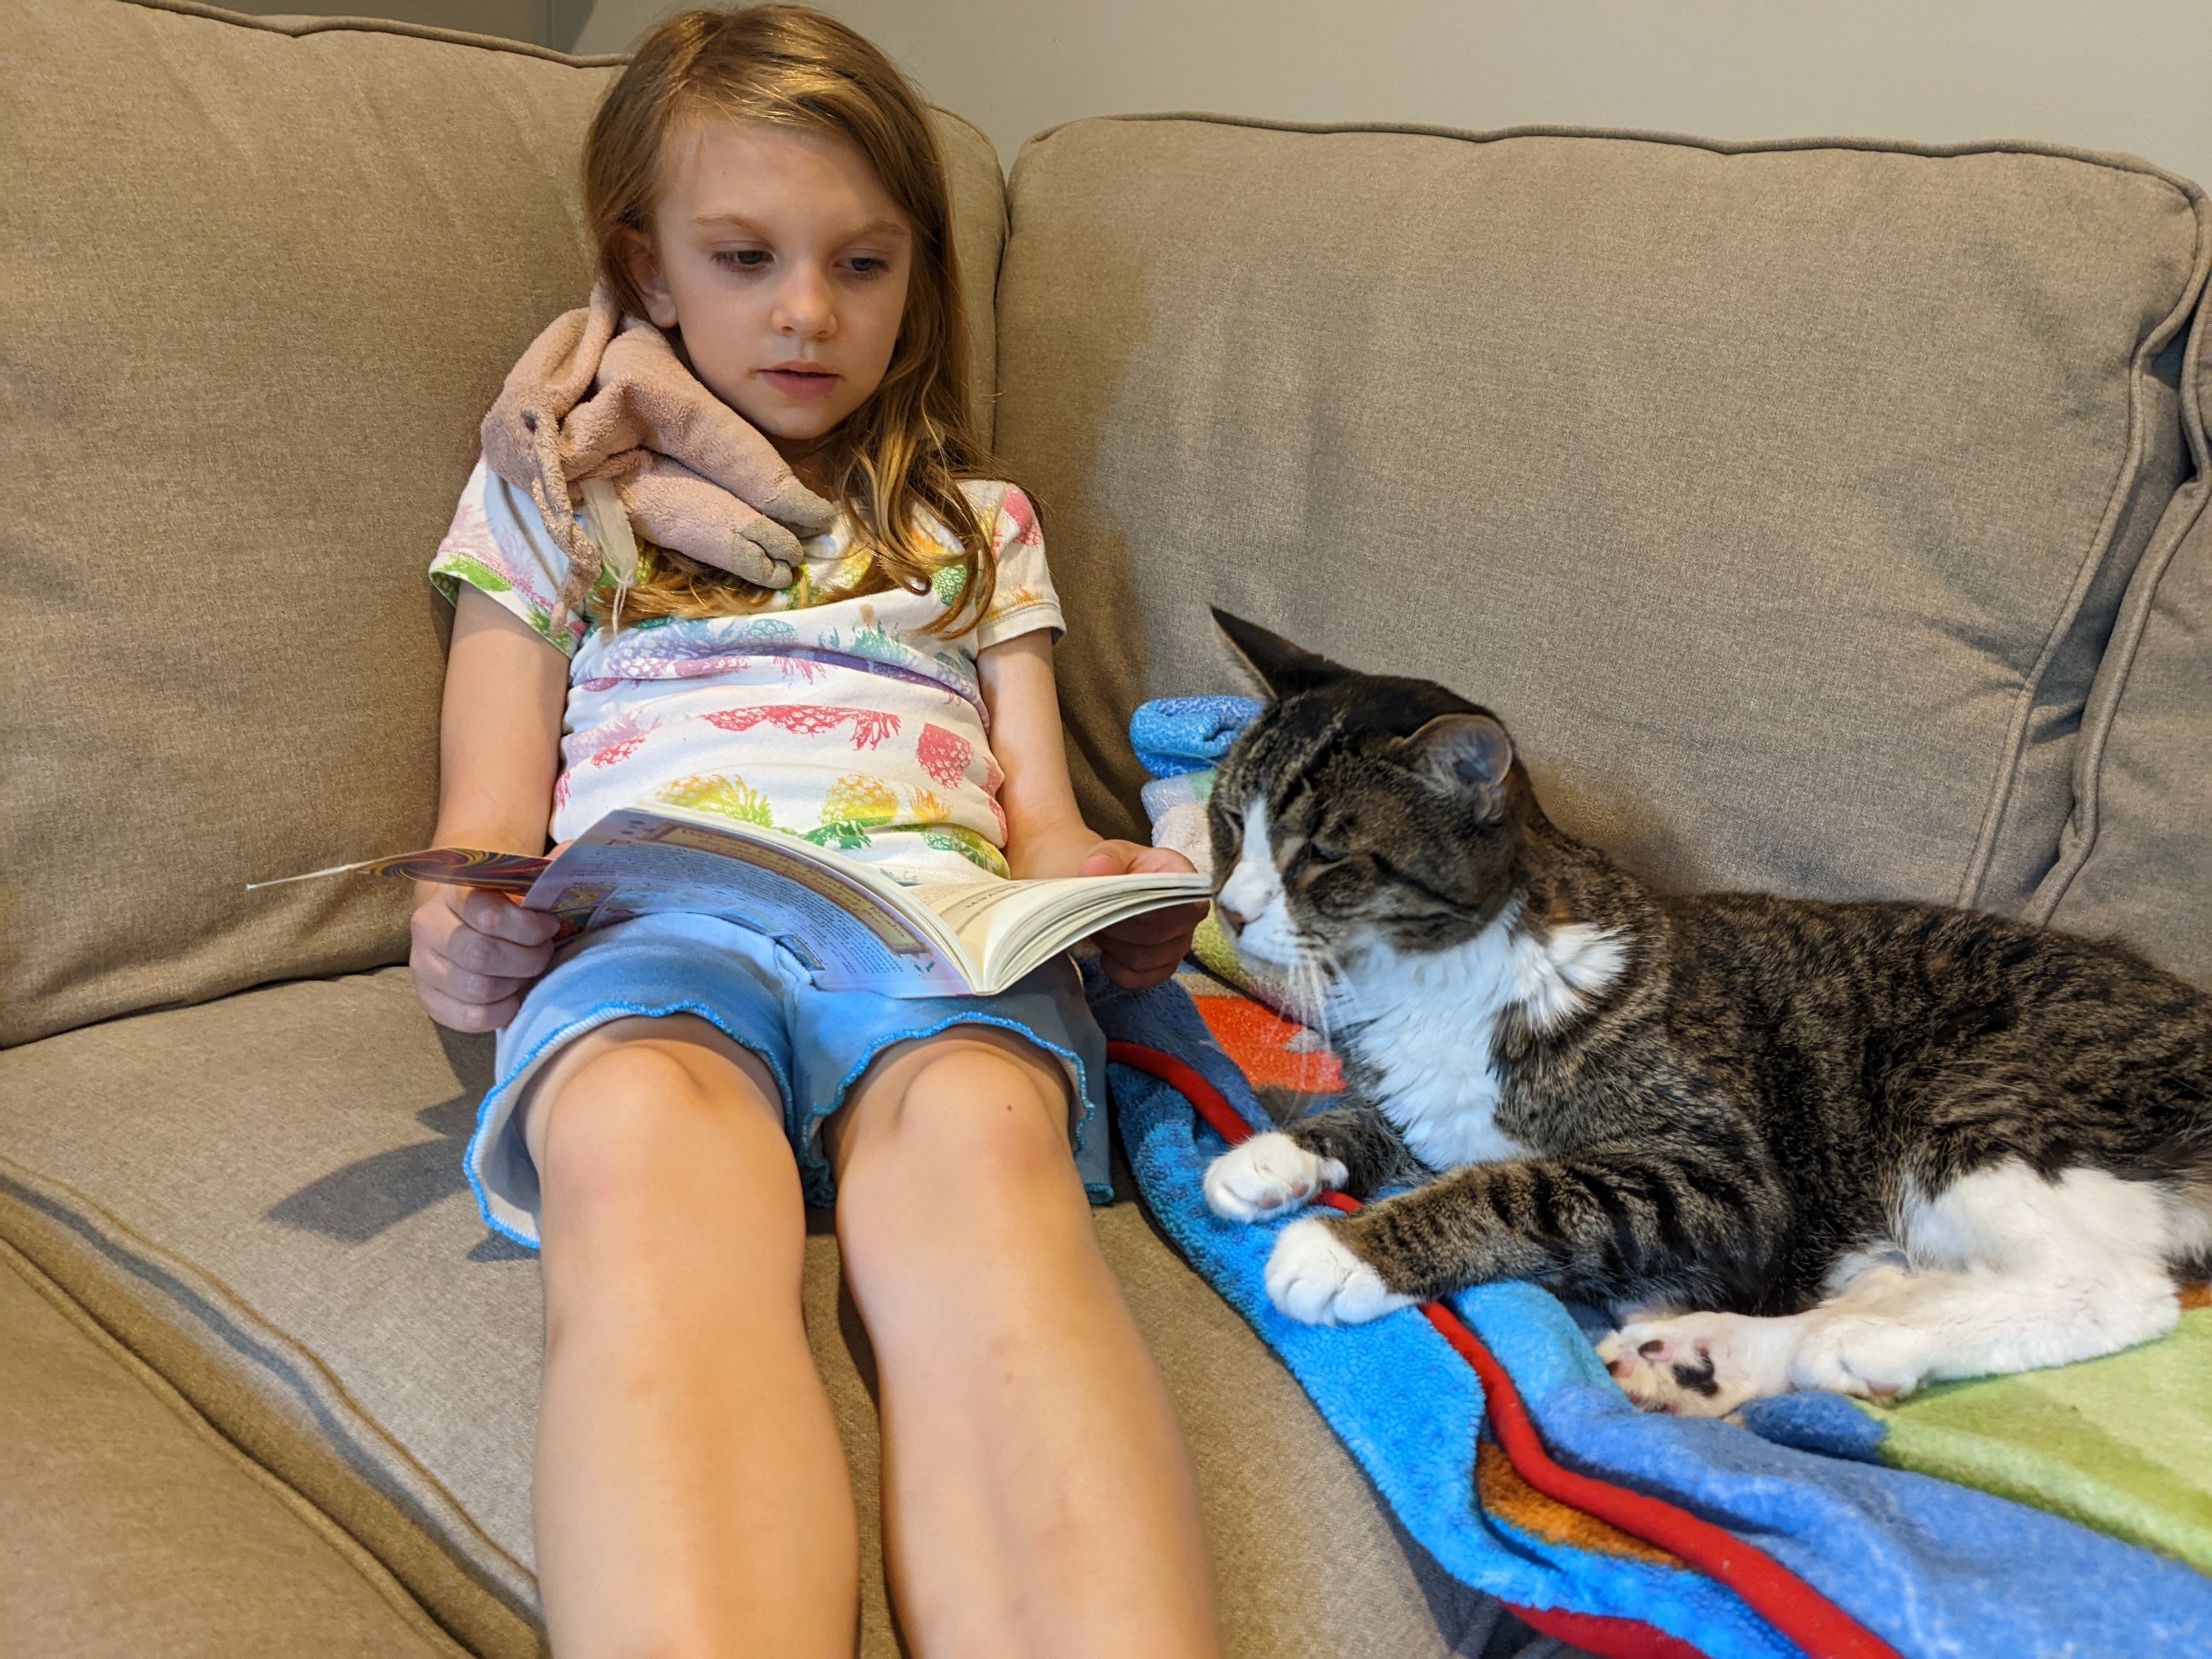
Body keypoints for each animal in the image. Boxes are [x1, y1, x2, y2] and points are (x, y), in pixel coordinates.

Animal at [1198, 610, 2212, 1415]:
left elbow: (1526, 1187)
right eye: (1227, 823)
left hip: (1987, 1095)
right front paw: (1278, 1157)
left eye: (1324, 854)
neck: (1430, 978)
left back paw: (1860, 1338)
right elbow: (1405, 1126)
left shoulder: (1724, 1175)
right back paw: (1709, 1351)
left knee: (2113, 1287)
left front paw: (1345, 1249)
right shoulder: (1434, 1101)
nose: (1231, 908)